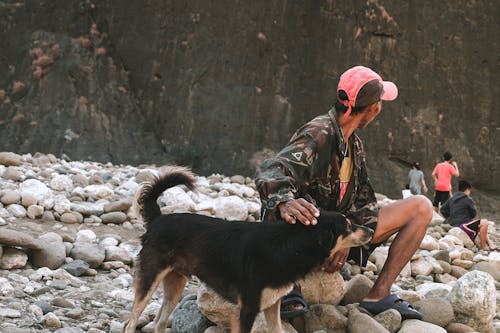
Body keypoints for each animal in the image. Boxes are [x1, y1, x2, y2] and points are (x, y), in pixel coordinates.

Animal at [123, 166, 374, 332]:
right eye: (348, 225)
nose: (370, 231)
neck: (290, 246)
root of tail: (158, 218)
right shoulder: (247, 310)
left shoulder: (272, 306)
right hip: (149, 280)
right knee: (130, 322)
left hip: (175, 284)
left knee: (158, 323)